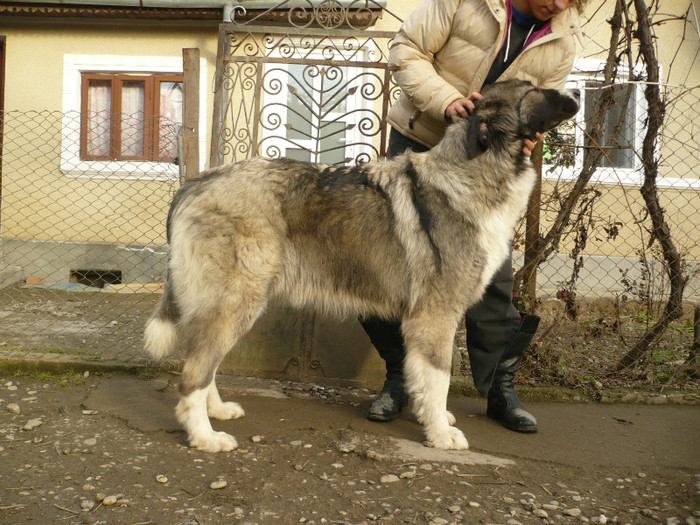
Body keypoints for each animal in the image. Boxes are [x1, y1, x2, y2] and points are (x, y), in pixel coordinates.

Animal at [144, 80, 580, 452]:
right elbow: (438, 377)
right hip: (236, 299)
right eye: (534, 89)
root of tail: (196, 183)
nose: (577, 90)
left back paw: (216, 411)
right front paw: (440, 433)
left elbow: (425, 379)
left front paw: (432, 417)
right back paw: (204, 436)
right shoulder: (436, 315)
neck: (473, 171)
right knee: (195, 372)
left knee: (204, 362)